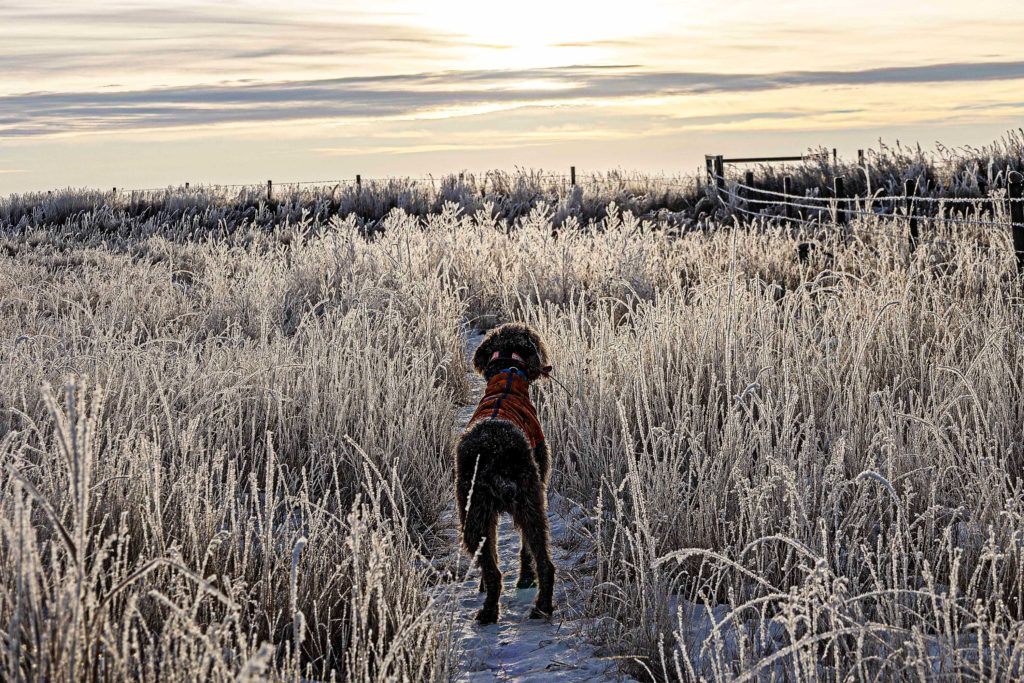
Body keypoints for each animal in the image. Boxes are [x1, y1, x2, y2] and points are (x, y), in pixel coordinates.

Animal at [454, 323, 552, 626]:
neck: (508, 376)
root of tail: (494, 452)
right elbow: (524, 550)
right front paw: (525, 579)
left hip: (473, 515)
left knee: (494, 571)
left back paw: (488, 611)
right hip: (527, 503)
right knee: (544, 562)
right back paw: (542, 606)